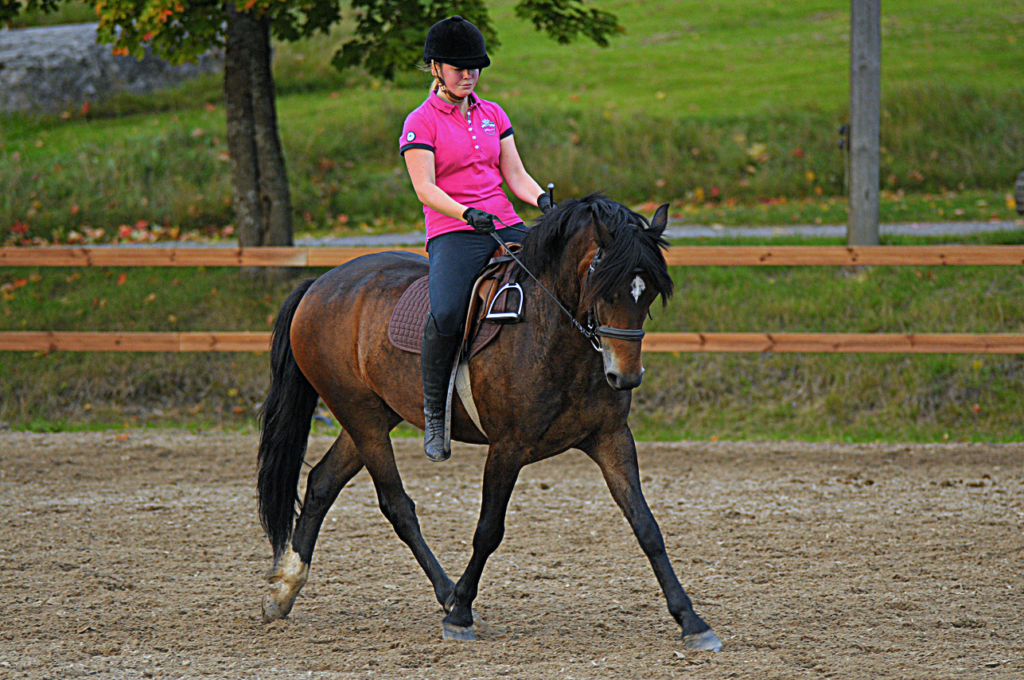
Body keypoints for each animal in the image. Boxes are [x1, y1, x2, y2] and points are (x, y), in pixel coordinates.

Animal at [256, 193, 720, 651]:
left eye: (648, 293)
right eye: (603, 287)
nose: (625, 376)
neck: (552, 332)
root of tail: (320, 283)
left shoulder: (611, 438)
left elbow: (646, 525)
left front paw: (691, 620)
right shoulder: (507, 449)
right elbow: (488, 530)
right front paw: (460, 614)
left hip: (372, 416)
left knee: (321, 483)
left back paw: (284, 591)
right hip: (361, 416)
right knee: (396, 505)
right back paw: (448, 596)